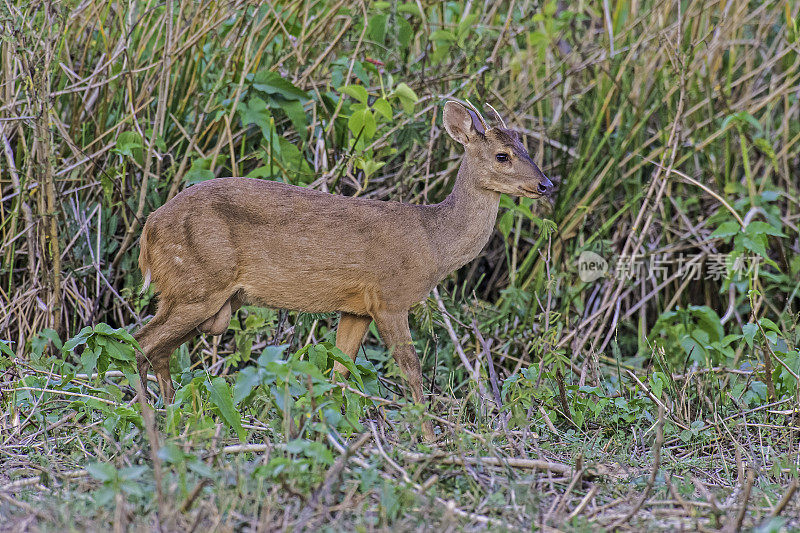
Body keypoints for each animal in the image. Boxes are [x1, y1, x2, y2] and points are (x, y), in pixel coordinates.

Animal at [136, 98, 552, 436]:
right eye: (502, 155)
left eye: (526, 148)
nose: (546, 184)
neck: (434, 243)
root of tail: (148, 228)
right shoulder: (389, 297)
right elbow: (411, 369)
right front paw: (430, 439)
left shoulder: (357, 309)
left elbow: (339, 371)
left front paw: (331, 428)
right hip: (198, 283)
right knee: (141, 342)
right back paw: (149, 420)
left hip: (207, 299)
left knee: (157, 349)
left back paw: (170, 414)